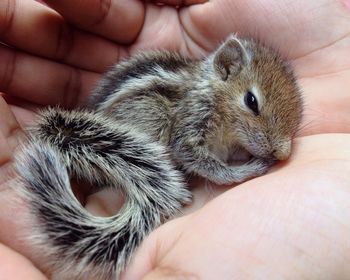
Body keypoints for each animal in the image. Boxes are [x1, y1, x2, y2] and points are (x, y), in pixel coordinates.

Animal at [15, 35, 302, 280]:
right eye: (251, 101)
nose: (283, 152)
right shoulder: (191, 123)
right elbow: (201, 161)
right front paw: (245, 170)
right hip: (155, 114)